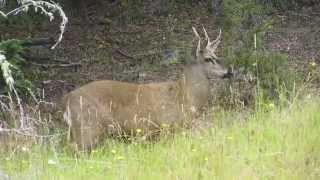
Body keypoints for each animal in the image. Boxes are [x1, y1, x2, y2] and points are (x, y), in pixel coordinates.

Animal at [62, 26, 232, 150]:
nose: (230, 71)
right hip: (87, 128)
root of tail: (67, 101)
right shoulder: (166, 126)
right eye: (208, 59)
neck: (186, 96)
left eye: (216, 56)